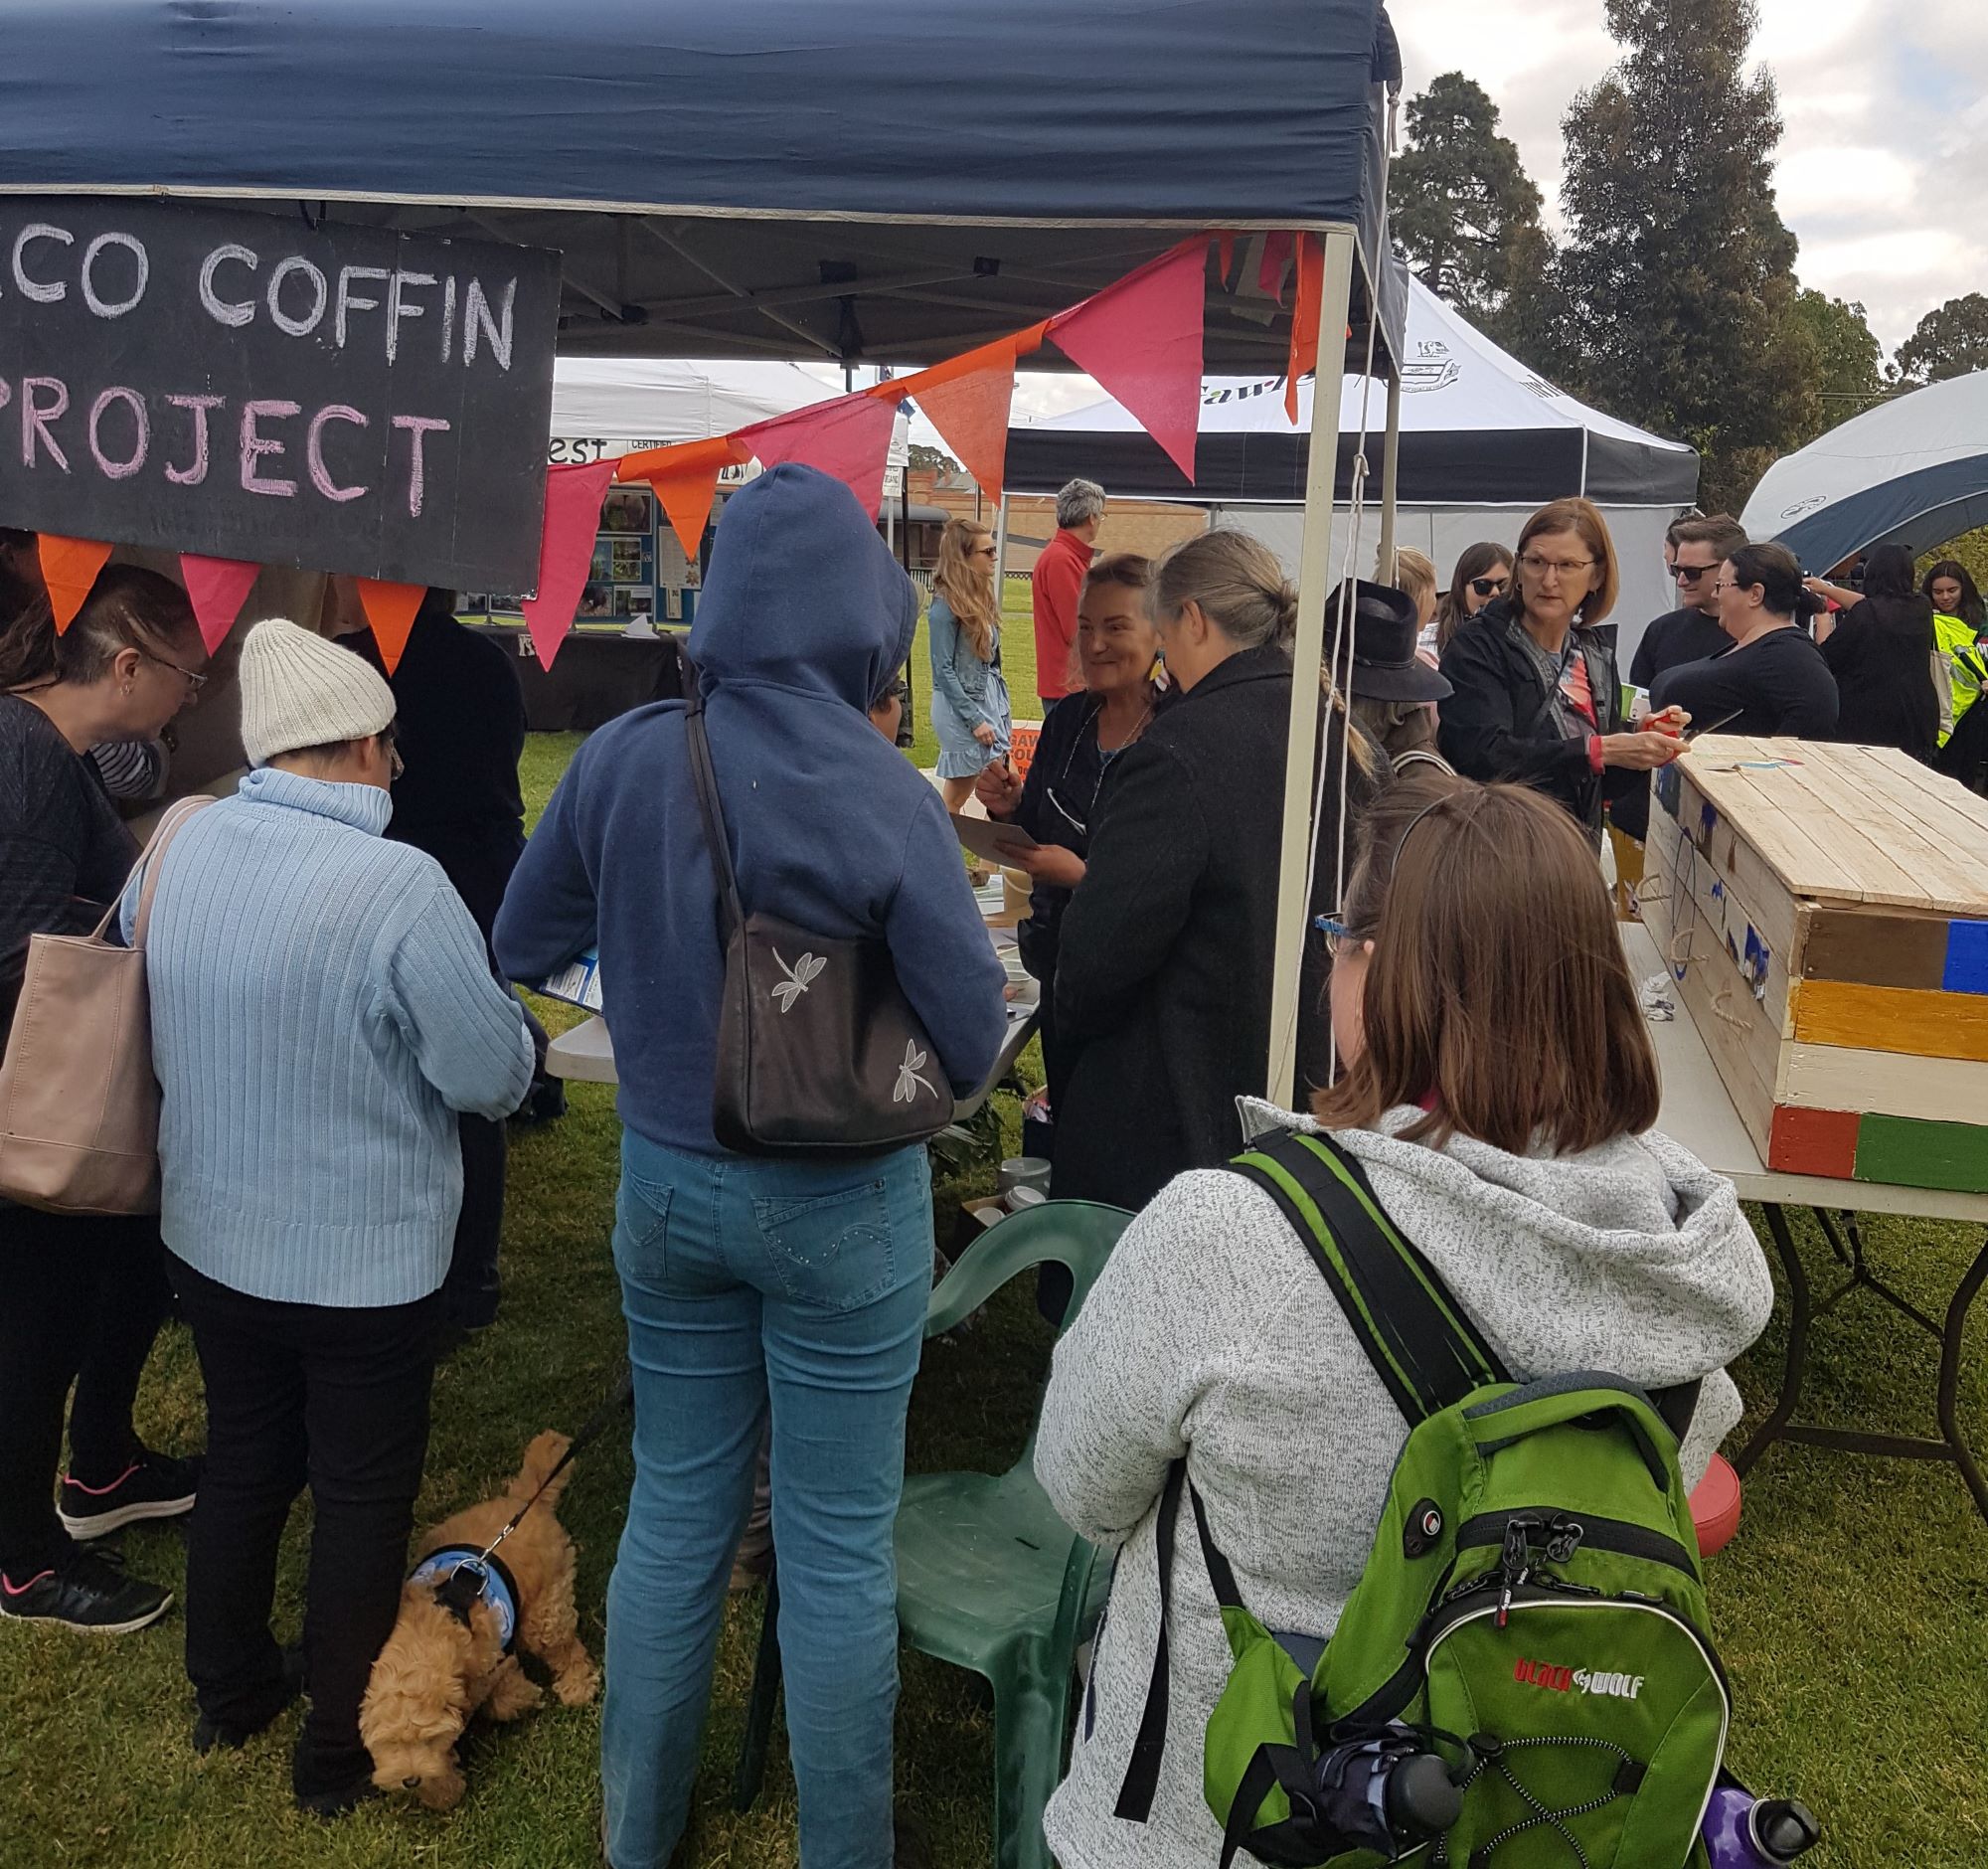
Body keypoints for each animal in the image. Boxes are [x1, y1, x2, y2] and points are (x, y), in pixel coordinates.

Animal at [362, 1432, 596, 1813]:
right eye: (390, 1743)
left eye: (428, 1739)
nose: (410, 1780)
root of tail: (523, 1500)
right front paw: (442, 1790)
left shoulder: (493, 1657)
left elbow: (502, 1694)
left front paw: (524, 1697)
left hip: (543, 1613)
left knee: (564, 1646)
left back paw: (577, 1684)